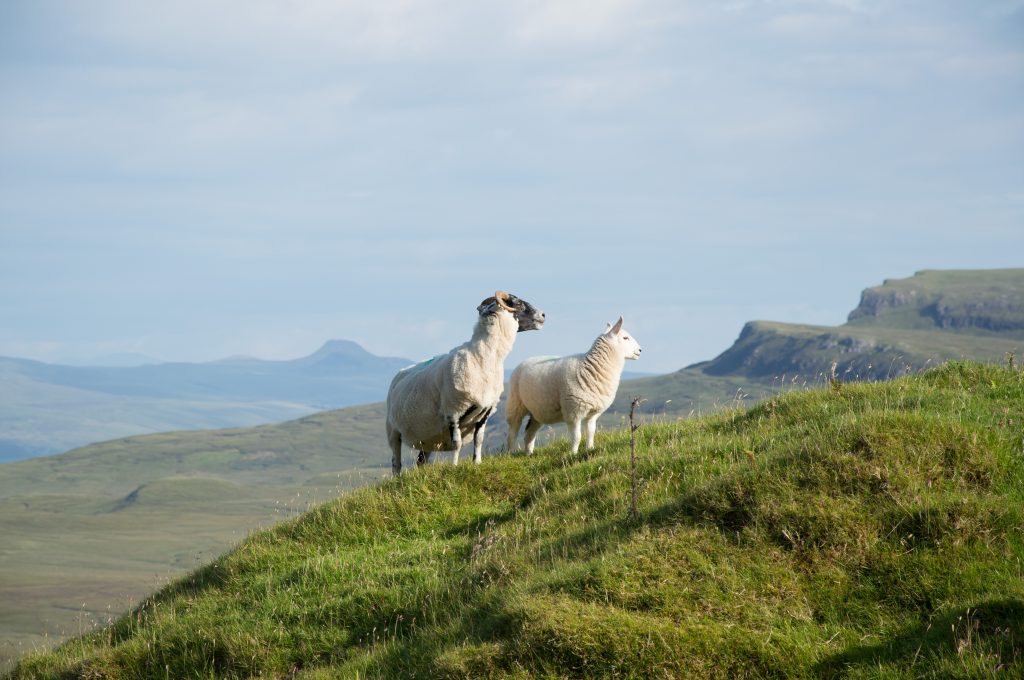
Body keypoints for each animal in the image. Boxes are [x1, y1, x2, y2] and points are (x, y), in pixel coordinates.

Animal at [385, 290, 544, 473]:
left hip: (428, 436)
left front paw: (477, 463)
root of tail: (401, 373)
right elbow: (457, 443)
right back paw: (397, 476)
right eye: (518, 303)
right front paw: (454, 466)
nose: (543, 315)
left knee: (421, 460)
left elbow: (479, 439)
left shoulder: (485, 412)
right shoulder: (453, 411)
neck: (482, 356)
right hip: (393, 431)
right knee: (396, 461)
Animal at [503, 315, 638, 454]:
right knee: (512, 432)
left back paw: (529, 453)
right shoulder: (573, 411)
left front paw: (590, 449)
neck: (589, 367)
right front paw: (573, 453)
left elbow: (591, 432)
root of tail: (525, 360)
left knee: (529, 433)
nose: (640, 350)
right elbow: (576, 436)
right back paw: (510, 453)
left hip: (537, 410)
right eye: (625, 338)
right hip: (515, 404)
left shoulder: (592, 413)